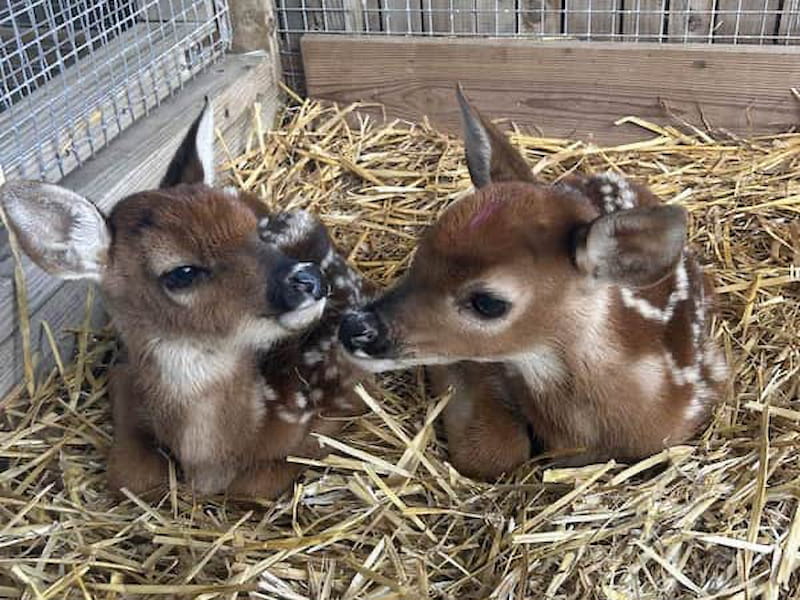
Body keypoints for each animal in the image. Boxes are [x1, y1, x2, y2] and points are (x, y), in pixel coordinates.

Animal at [1, 99, 370, 499]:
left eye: (253, 231)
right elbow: (131, 477)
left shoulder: (339, 407)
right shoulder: (125, 376)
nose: (309, 279)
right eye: (182, 273)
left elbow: (252, 486)